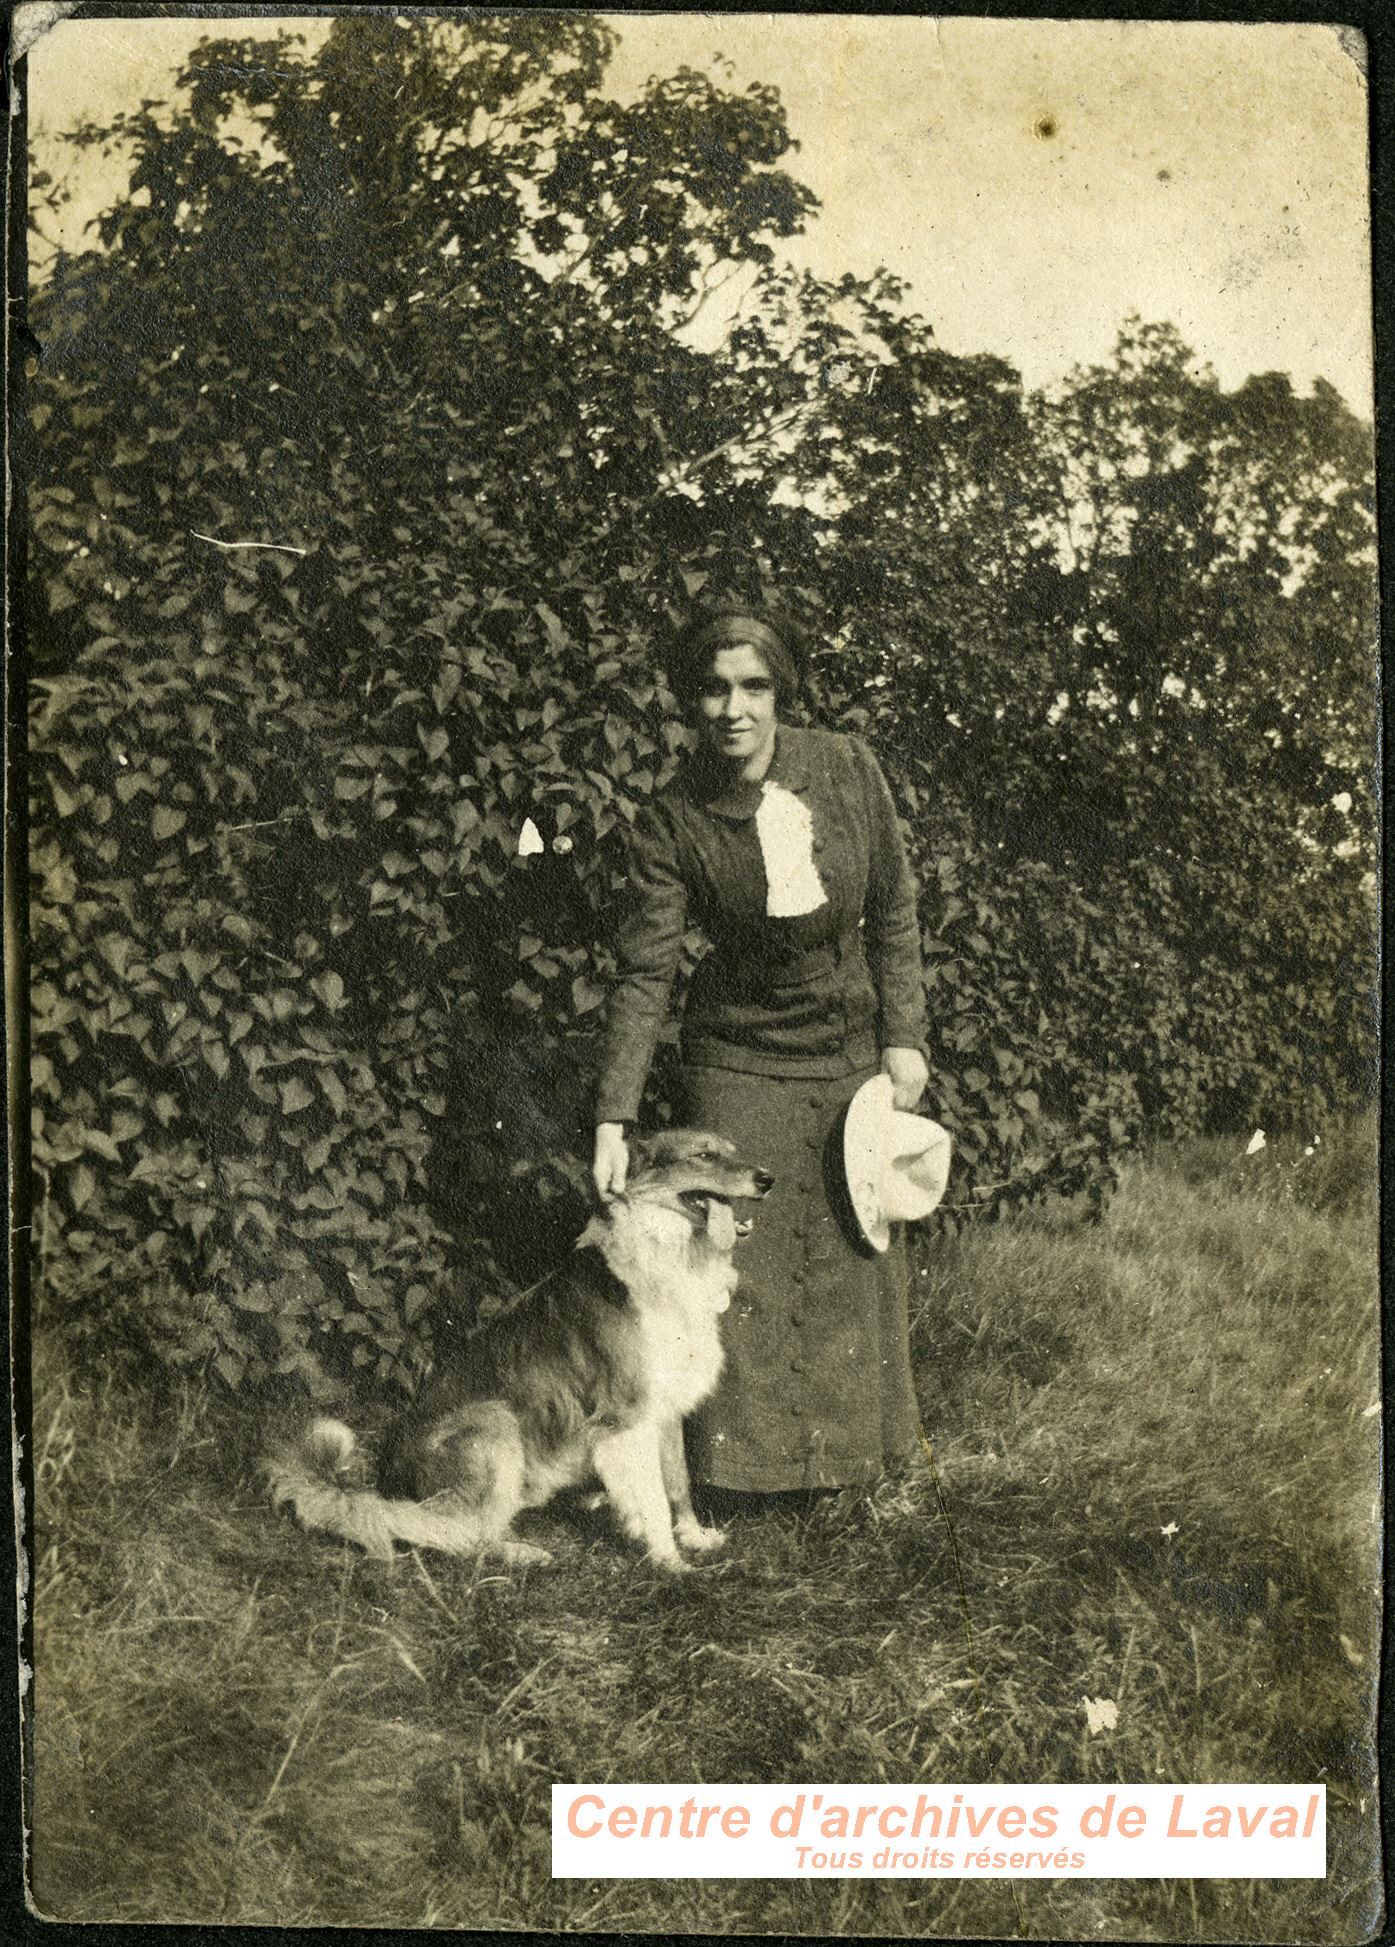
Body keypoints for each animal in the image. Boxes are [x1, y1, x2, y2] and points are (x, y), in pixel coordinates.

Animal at [264, 1137, 775, 1573]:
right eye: (704, 1155)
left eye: (733, 1151)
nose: (768, 1178)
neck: (669, 1256)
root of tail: (388, 1482)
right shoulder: (626, 1419)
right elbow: (652, 1498)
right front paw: (669, 1562)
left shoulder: (664, 1409)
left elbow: (678, 1481)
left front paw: (694, 1536)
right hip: (495, 1422)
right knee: (455, 1534)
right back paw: (520, 1552)